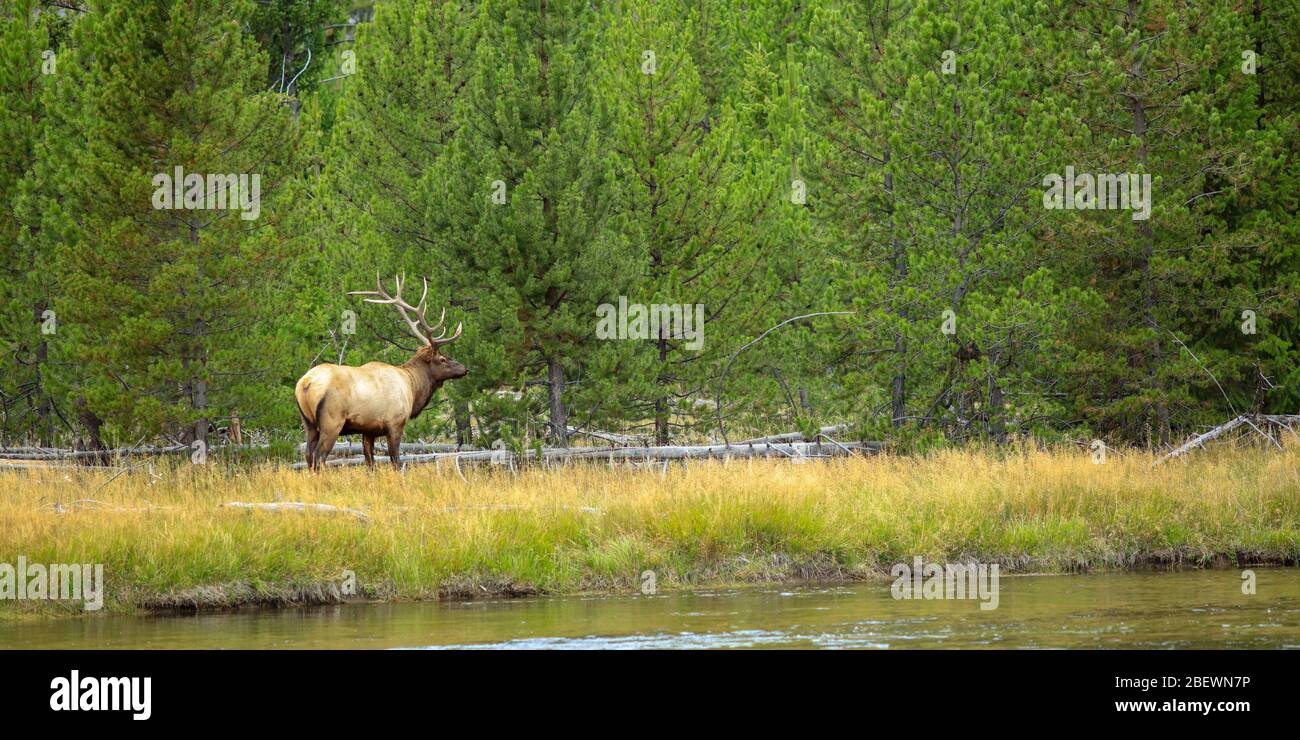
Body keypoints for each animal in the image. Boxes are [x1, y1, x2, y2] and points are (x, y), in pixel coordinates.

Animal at [295, 274, 467, 470]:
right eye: (443, 359)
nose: (464, 368)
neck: (412, 388)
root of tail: (306, 383)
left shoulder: (368, 430)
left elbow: (370, 463)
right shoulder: (395, 423)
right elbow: (396, 461)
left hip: (308, 423)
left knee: (308, 454)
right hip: (331, 422)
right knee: (319, 456)